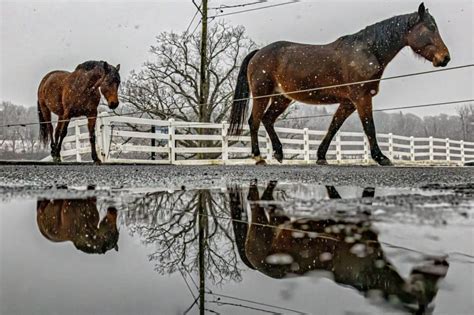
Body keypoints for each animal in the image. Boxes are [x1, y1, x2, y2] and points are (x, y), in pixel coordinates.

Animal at [230, 3, 452, 167]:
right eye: (431, 28)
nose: (445, 58)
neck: (367, 51)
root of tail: (258, 53)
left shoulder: (348, 102)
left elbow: (334, 126)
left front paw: (321, 156)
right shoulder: (361, 98)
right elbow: (369, 127)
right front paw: (381, 158)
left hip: (282, 98)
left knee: (267, 120)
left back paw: (278, 153)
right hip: (262, 94)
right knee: (254, 121)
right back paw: (259, 157)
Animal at [230, 181, 448, 314]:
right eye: (433, 290)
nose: (445, 263)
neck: (370, 273)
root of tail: (255, 264)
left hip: (278, 221)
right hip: (260, 225)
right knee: (254, 201)